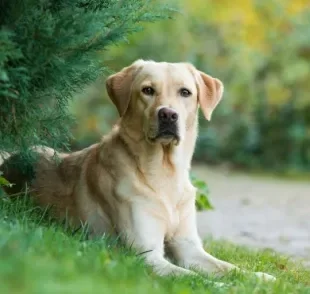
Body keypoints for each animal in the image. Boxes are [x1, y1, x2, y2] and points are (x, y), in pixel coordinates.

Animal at [0, 58, 276, 282]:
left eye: (185, 92)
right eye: (148, 90)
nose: (168, 115)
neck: (164, 172)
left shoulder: (189, 248)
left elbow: (228, 267)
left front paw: (260, 277)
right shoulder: (146, 254)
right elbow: (194, 278)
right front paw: (221, 286)